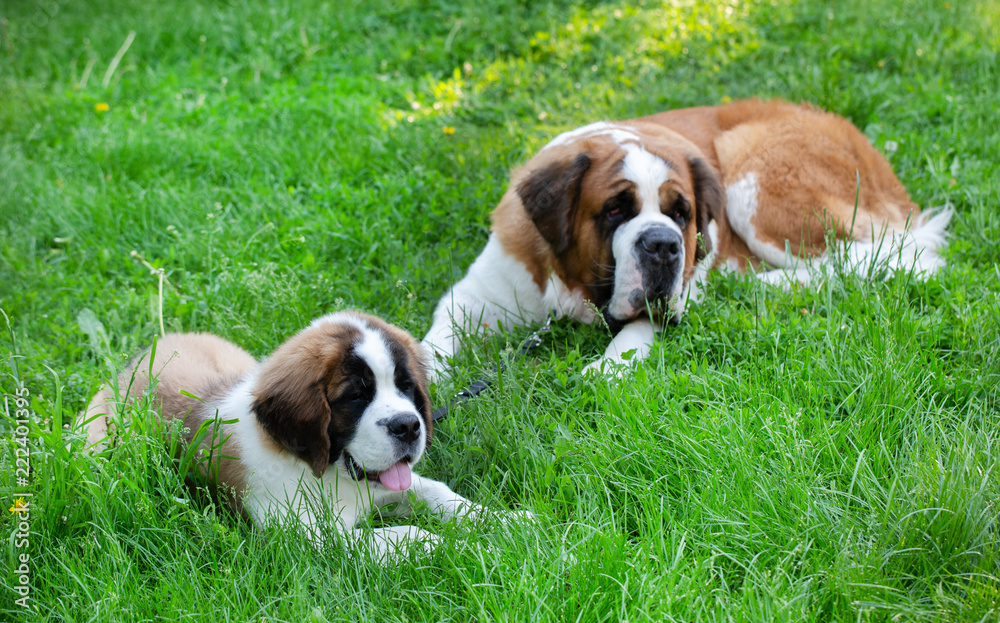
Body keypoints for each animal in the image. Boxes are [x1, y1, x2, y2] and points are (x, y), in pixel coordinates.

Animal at [84, 312, 508, 560]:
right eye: (356, 396)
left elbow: (441, 494)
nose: (408, 426)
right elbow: (406, 535)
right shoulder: (306, 534)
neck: (326, 472)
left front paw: (508, 521)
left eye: (406, 387)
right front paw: (469, 547)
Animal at [424, 100, 952, 378]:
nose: (663, 244)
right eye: (614, 210)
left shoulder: (676, 291)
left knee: (886, 254)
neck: (569, 288)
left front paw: (607, 369)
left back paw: (758, 285)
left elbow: (638, 329)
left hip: (753, 177)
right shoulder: (481, 290)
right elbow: (436, 338)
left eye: (682, 215)